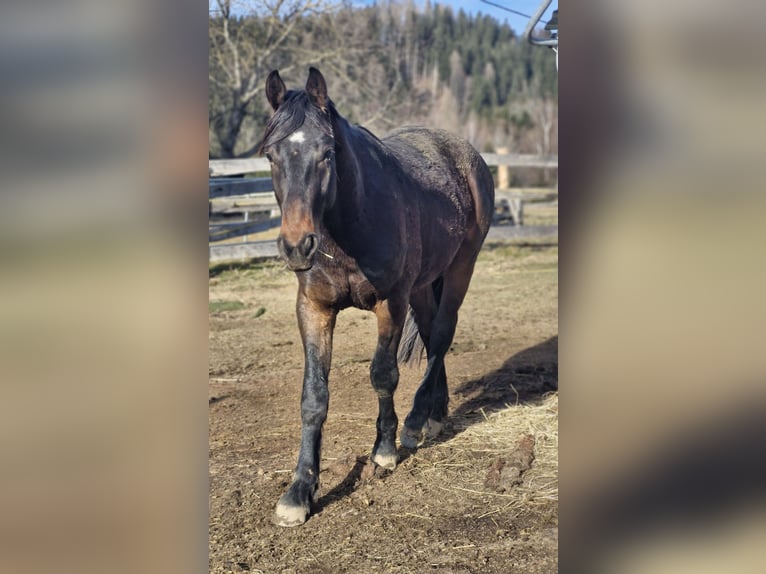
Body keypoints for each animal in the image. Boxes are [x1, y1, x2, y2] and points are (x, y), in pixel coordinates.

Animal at [258, 67, 495, 527]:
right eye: (272, 157)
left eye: (326, 154)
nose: (297, 245)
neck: (349, 226)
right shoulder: (314, 308)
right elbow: (313, 396)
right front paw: (299, 492)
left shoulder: (391, 303)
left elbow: (383, 374)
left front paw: (383, 450)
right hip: (423, 286)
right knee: (432, 335)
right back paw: (435, 415)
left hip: (460, 269)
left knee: (442, 335)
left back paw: (416, 422)